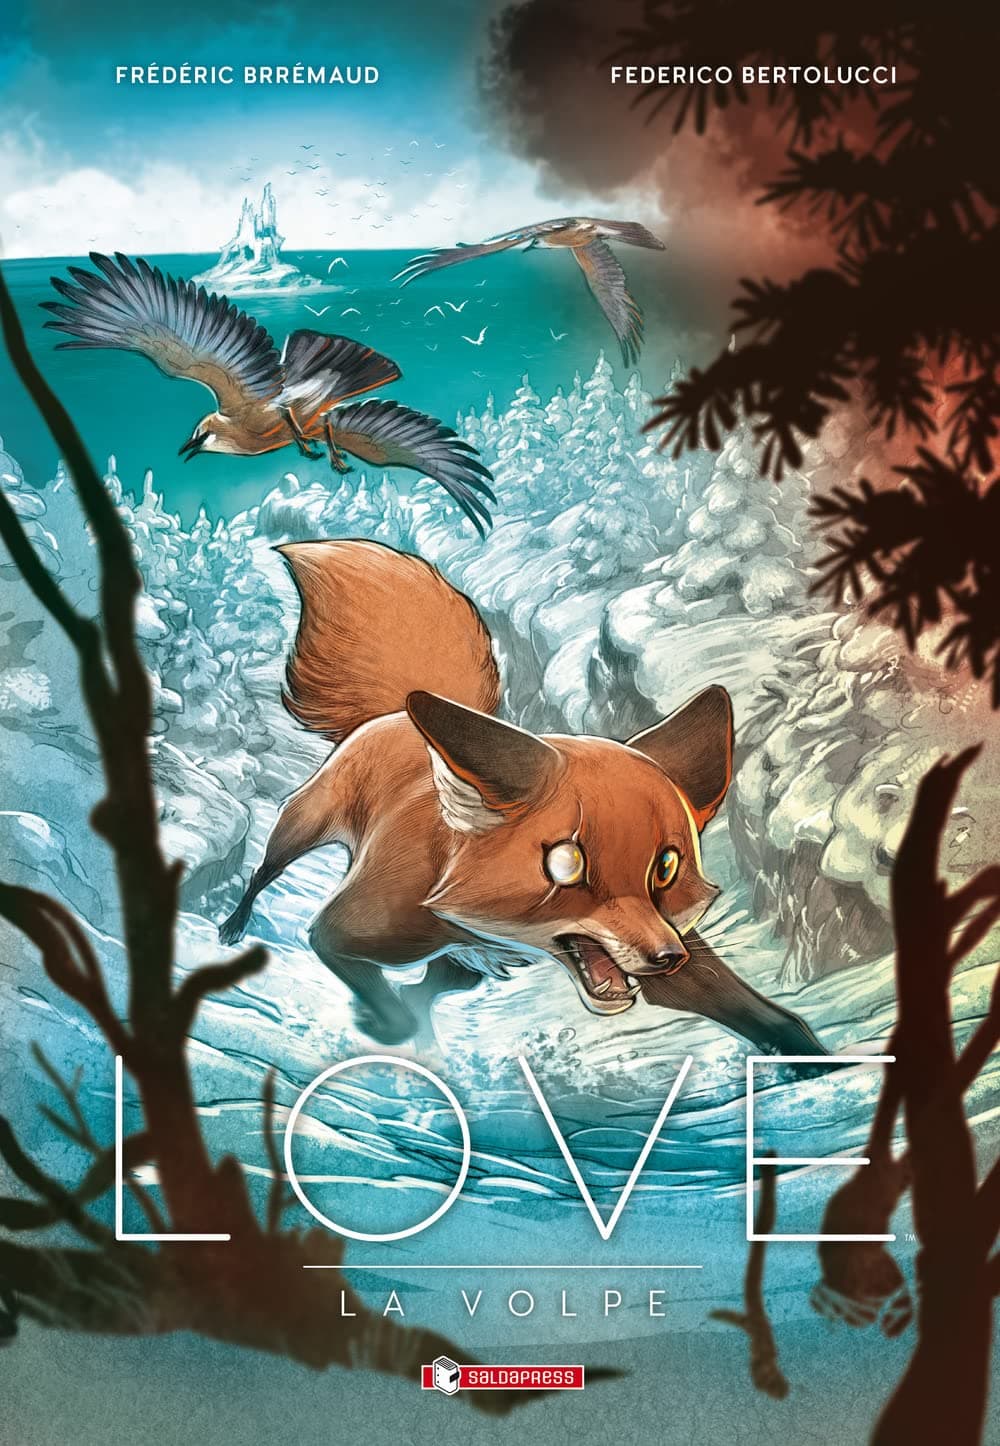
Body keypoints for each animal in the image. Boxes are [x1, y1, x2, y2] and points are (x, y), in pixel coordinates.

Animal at [219, 539, 825, 1056]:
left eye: (666, 868)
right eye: (566, 864)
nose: (666, 957)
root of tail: (394, 713)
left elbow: (776, 1021)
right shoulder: (343, 933)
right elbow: (377, 994)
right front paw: (384, 1027)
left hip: (470, 968)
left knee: (432, 985)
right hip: (304, 824)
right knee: (266, 866)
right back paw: (233, 925)